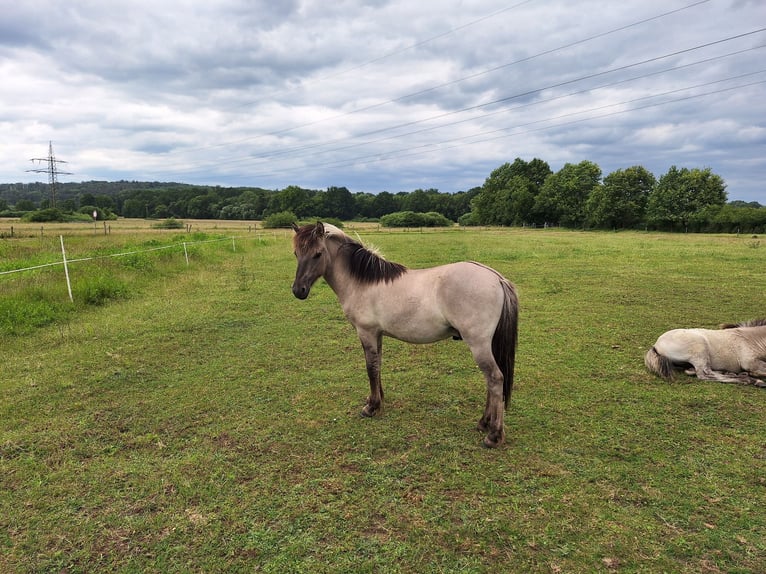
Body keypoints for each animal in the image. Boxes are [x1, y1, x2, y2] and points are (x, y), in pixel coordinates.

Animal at [292, 223, 520, 448]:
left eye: (317, 254)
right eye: (296, 253)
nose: (298, 290)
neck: (362, 283)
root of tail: (497, 278)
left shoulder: (366, 332)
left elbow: (370, 368)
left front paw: (371, 408)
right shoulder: (377, 334)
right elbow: (378, 366)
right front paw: (377, 400)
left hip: (478, 344)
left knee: (495, 379)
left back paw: (493, 435)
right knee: (491, 381)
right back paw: (484, 423)